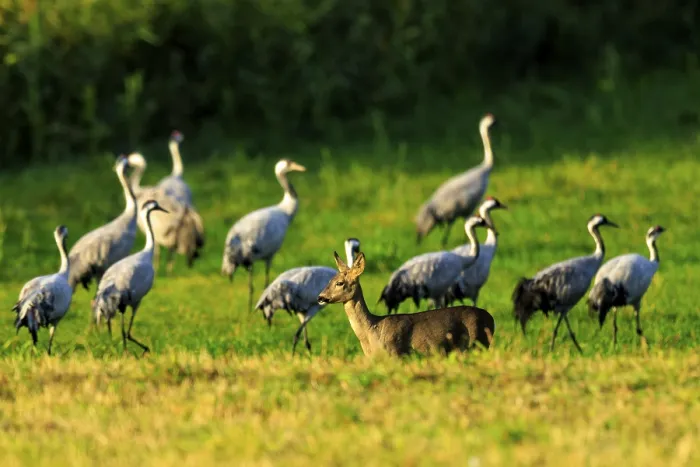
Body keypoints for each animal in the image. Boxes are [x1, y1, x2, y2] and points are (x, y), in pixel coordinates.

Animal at [317, 250, 495, 357]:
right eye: (329, 280)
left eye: (339, 283)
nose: (321, 297)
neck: (372, 331)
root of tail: (491, 319)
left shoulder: (396, 353)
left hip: (477, 343)